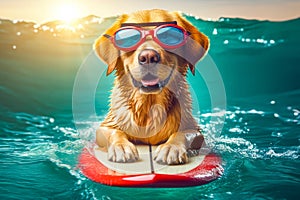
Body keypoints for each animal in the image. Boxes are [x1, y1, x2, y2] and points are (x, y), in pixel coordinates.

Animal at [94, 9, 209, 165]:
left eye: (168, 35)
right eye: (130, 38)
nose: (148, 56)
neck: (148, 105)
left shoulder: (194, 129)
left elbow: (182, 133)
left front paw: (171, 148)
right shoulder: (106, 126)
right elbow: (115, 132)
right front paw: (121, 147)